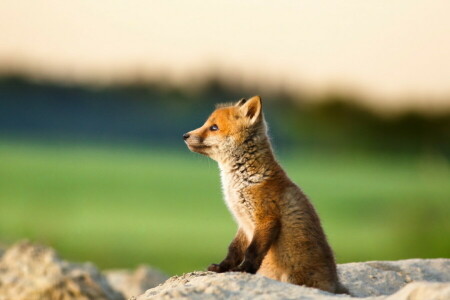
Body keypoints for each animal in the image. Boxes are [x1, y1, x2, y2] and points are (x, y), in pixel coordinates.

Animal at [183, 96, 344, 292]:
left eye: (214, 127)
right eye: (207, 124)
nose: (184, 136)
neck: (242, 181)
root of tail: (336, 285)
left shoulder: (266, 218)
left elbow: (252, 251)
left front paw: (244, 270)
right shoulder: (243, 223)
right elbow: (234, 250)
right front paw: (222, 268)